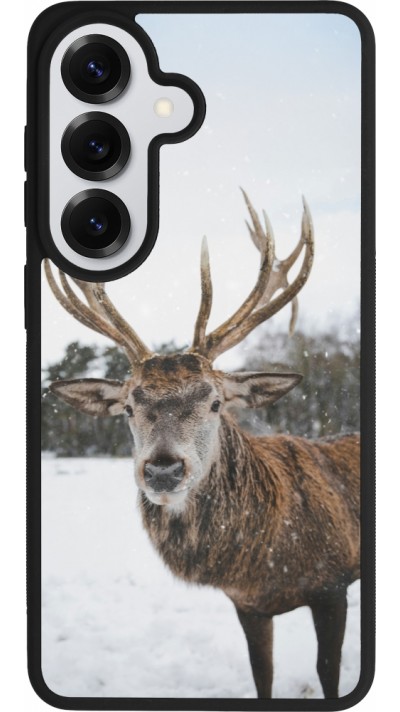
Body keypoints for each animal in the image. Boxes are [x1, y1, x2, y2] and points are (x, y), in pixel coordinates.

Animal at [45, 191, 360, 699]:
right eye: (128, 407)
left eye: (215, 402)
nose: (163, 469)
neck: (265, 562)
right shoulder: (248, 604)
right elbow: (262, 676)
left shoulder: (333, 584)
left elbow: (328, 674)